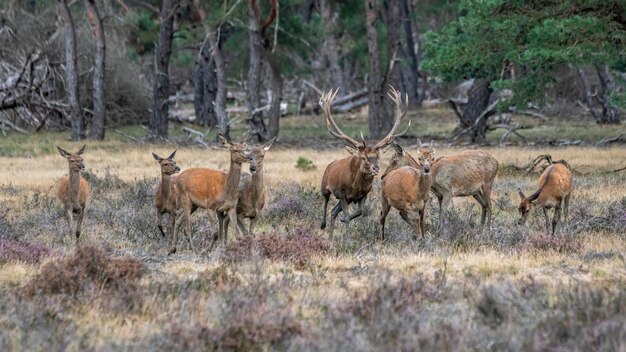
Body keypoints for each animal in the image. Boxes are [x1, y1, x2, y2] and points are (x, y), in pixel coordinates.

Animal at [316, 86, 410, 239]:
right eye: (364, 157)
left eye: (378, 156)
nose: (376, 168)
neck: (355, 186)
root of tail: (330, 165)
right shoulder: (343, 194)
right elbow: (347, 216)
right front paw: (346, 239)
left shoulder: (363, 195)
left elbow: (361, 212)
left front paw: (344, 224)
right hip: (325, 186)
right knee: (325, 202)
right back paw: (322, 225)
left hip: (345, 199)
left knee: (334, 211)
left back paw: (330, 238)